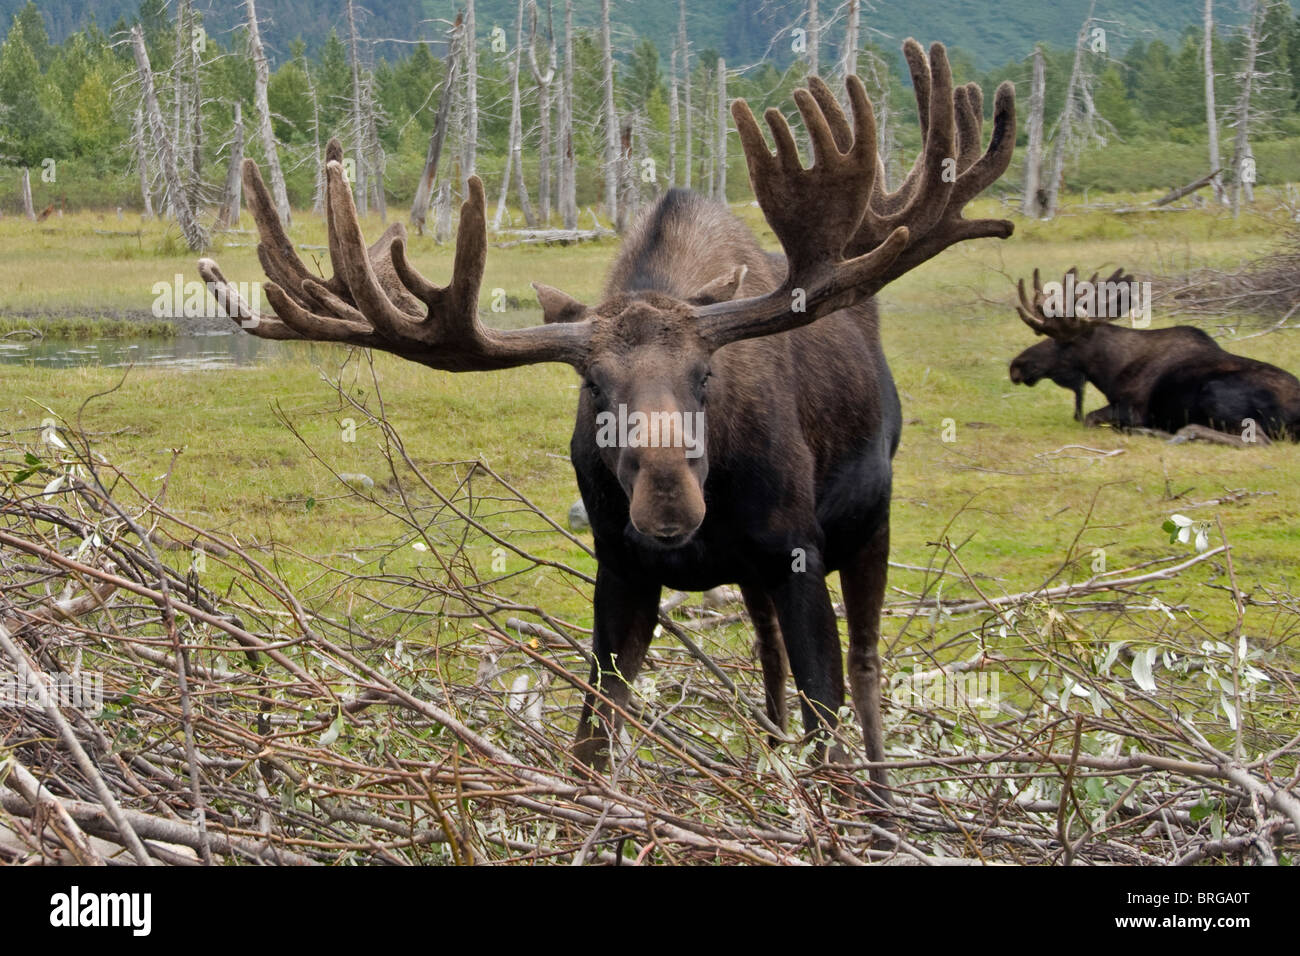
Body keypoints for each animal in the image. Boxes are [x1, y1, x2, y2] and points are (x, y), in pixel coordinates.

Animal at [200, 41, 1013, 796]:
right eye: (593, 387)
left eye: (707, 376)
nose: (668, 503)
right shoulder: (620, 569)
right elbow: (592, 739)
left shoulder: (797, 551)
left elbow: (830, 725)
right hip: (755, 577)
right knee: (770, 662)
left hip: (870, 522)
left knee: (867, 674)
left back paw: (884, 809)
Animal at [1013, 269, 1300, 444]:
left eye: (1061, 342)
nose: (1016, 366)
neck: (1111, 371)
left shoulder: (1131, 408)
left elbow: (1089, 418)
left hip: (1217, 393)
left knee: (1256, 440)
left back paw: (1176, 432)